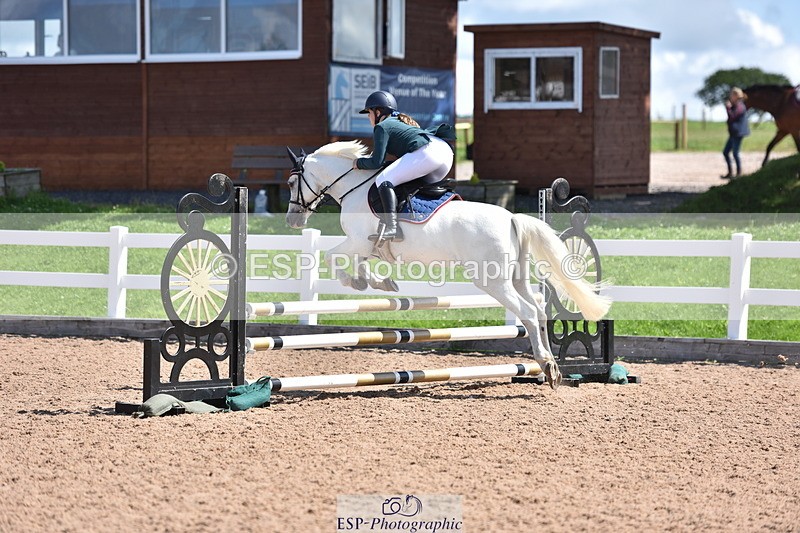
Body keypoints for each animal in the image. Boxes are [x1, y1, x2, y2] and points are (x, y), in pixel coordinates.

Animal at [284, 141, 612, 390]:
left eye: (290, 182)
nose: (292, 220)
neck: (354, 187)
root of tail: (512, 218)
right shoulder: (365, 247)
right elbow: (361, 263)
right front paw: (379, 282)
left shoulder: (356, 241)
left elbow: (332, 257)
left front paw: (358, 282)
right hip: (516, 276)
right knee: (540, 309)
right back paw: (551, 367)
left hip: (492, 280)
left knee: (528, 312)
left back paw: (546, 363)